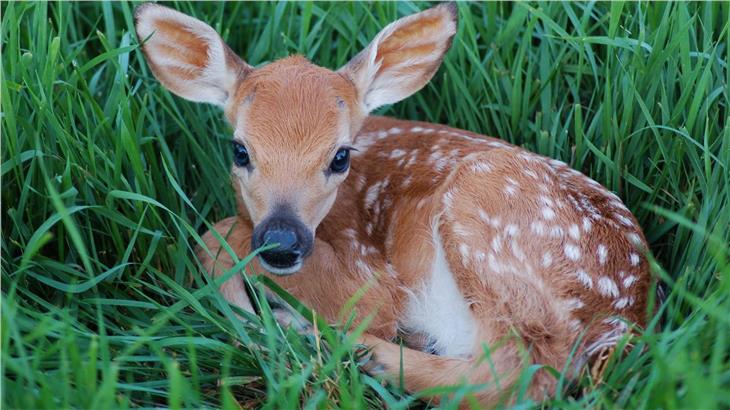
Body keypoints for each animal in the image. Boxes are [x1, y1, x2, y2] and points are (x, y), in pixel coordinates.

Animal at [135, 3, 648, 406]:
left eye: (340, 156)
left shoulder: (371, 277)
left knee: (518, 372)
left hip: (485, 207)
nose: (281, 242)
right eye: (240, 150)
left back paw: (345, 347)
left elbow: (217, 233)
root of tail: (627, 321)